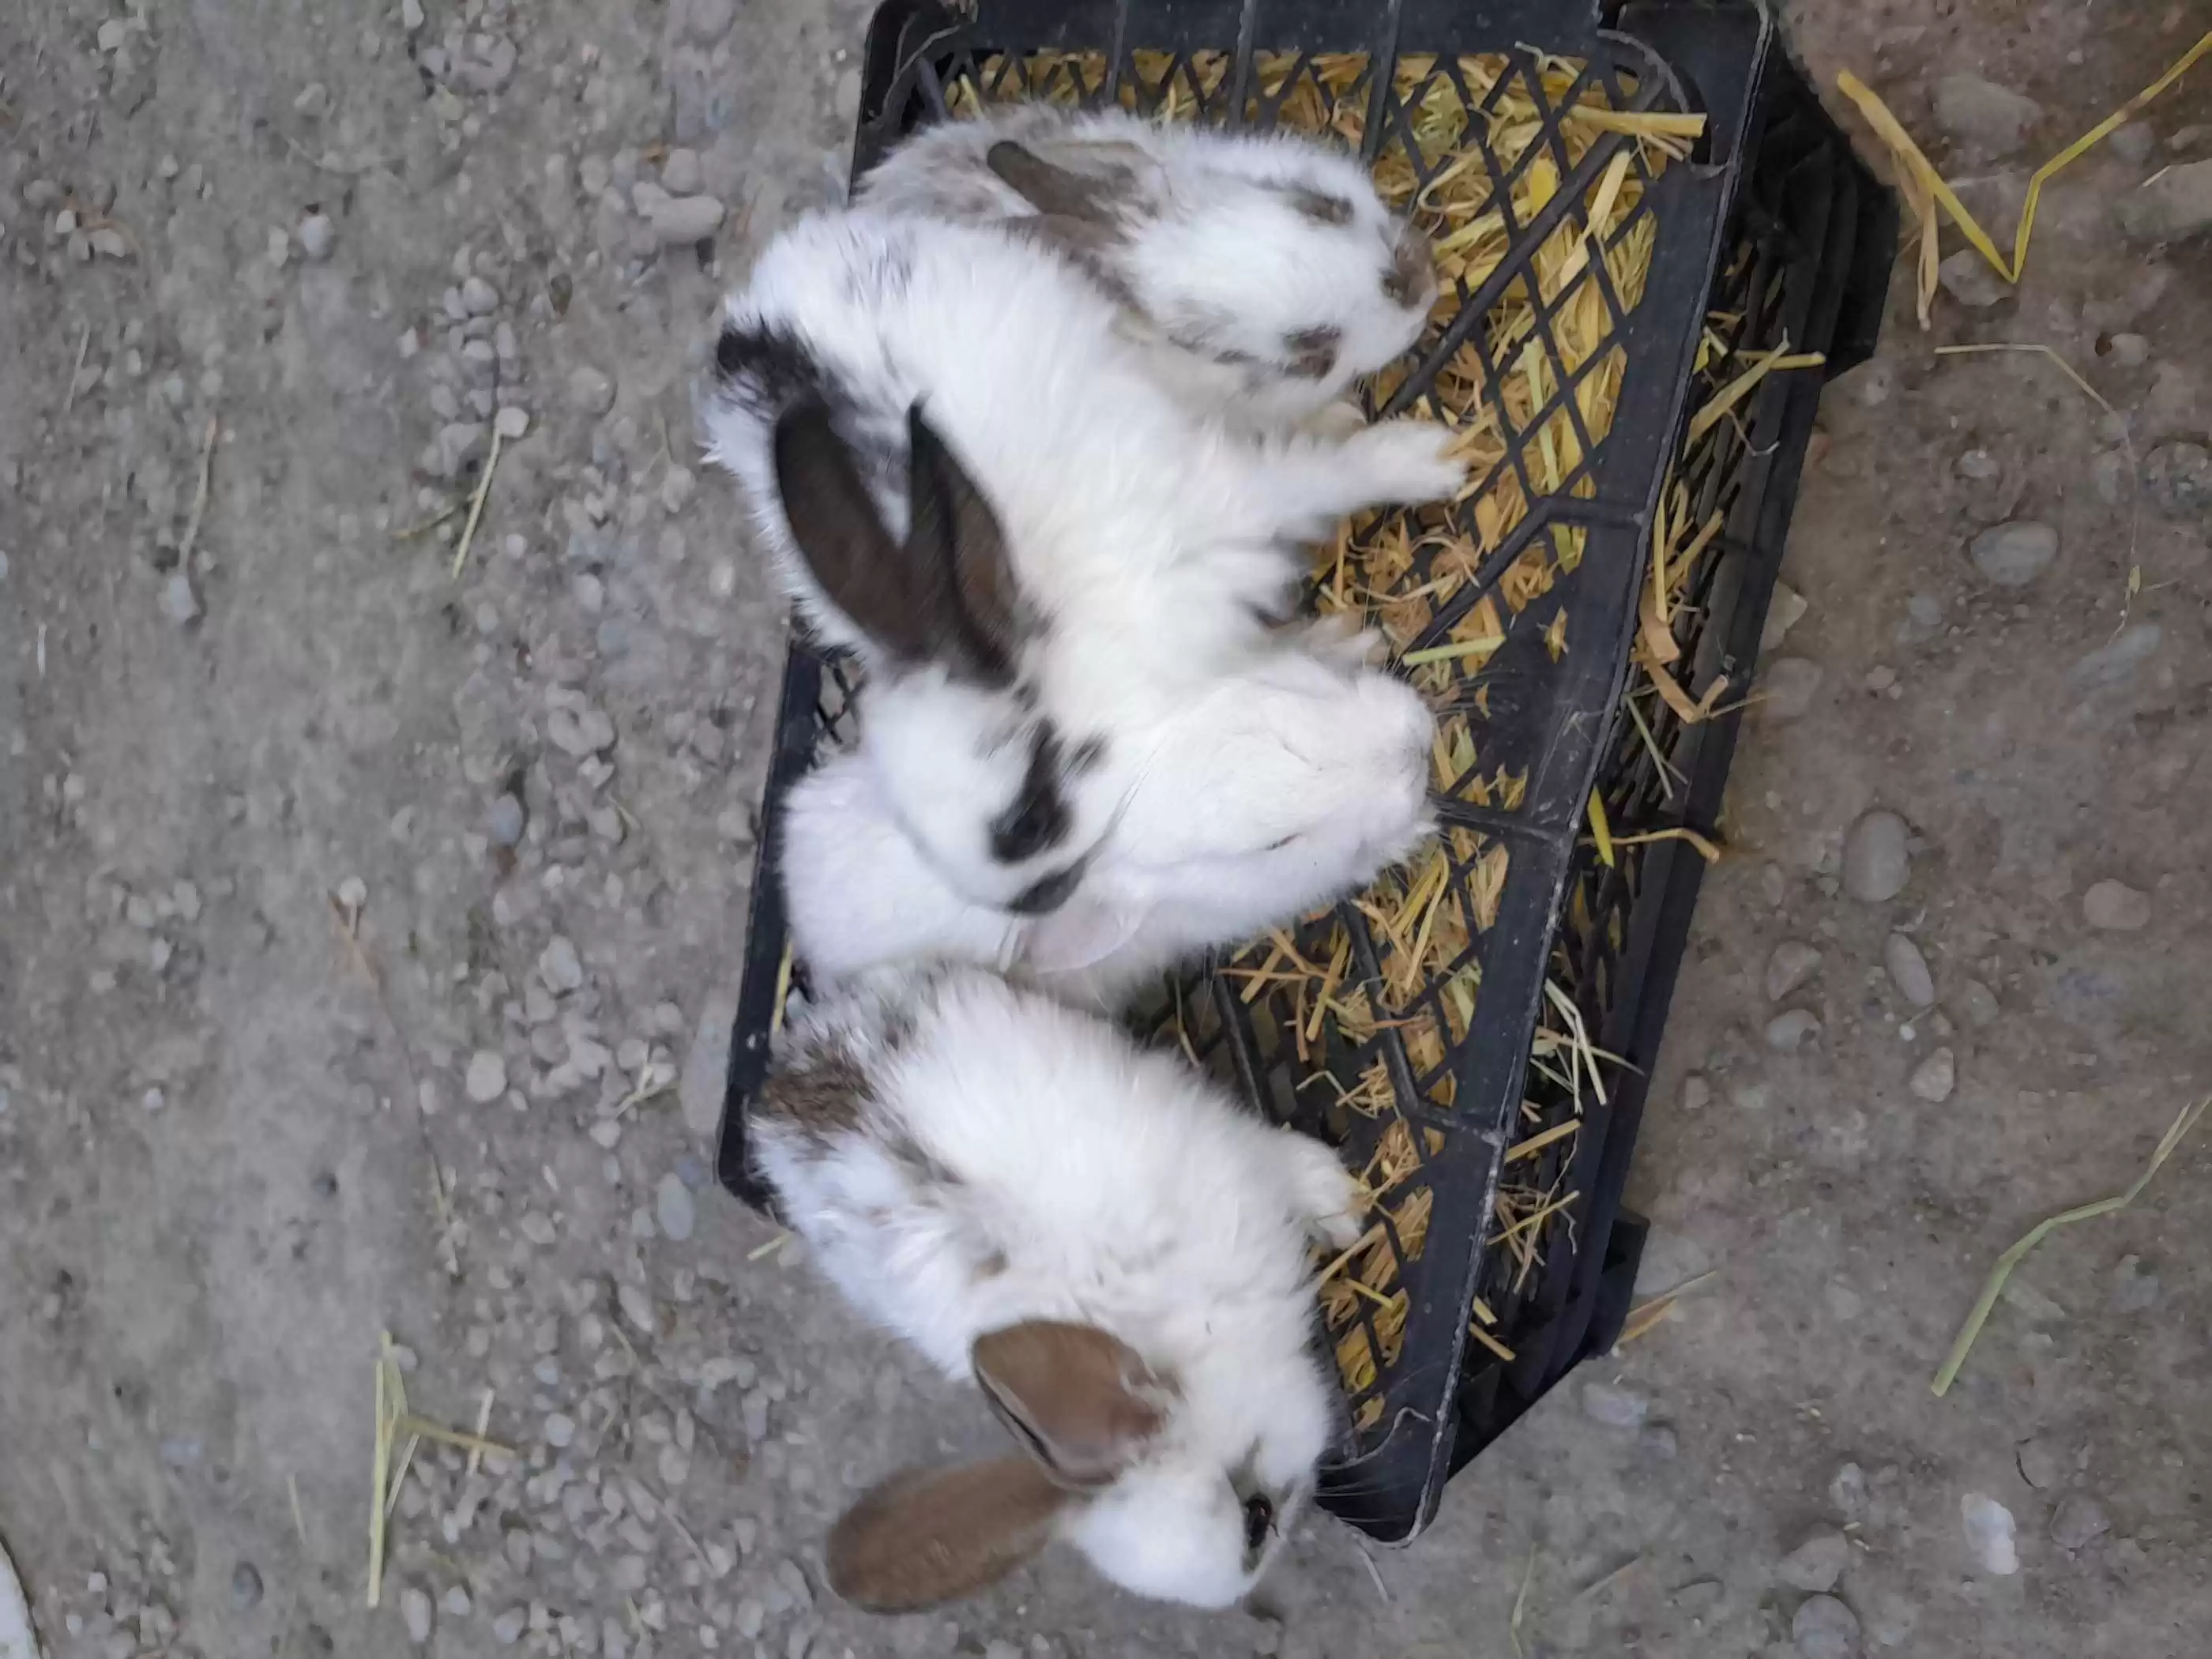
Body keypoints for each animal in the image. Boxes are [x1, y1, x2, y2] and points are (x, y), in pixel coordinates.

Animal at [704, 208, 1461, 918]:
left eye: (1031, 815)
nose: (1034, 903)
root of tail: (755, 301)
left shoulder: (1217, 512)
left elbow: (1321, 479)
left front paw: (1431, 462)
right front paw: (1341, 642)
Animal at [750, 962, 1364, 1609]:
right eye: (1258, 1518)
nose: (1296, 1521)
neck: (1193, 1344)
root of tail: (785, 1078)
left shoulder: (1235, 1165)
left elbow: (1280, 1161)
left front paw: (1342, 1204)